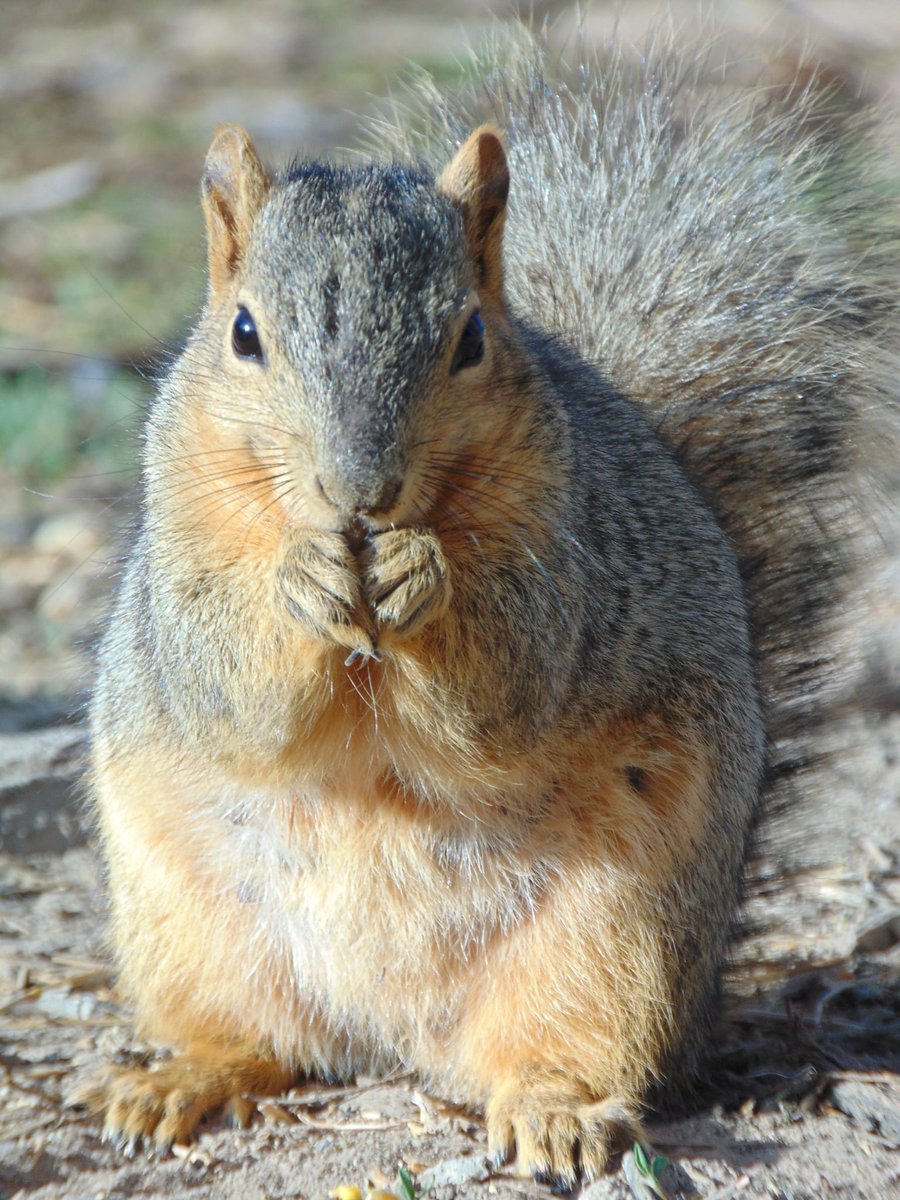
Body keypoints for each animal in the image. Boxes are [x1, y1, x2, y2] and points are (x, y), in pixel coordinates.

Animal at [75, 28, 897, 1188]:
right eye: (242, 333)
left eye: (468, 337)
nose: (361, 490)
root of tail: (388, 1038)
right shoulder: (178, 549)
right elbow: (223, 681)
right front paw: (298, 580)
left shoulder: (572, 557)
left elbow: (511, 680)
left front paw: (425, 580)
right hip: (186, 928)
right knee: (253, 1038)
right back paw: (173, 1081)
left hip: (618, 934)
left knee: (563, 1047)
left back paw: (557, 1115)